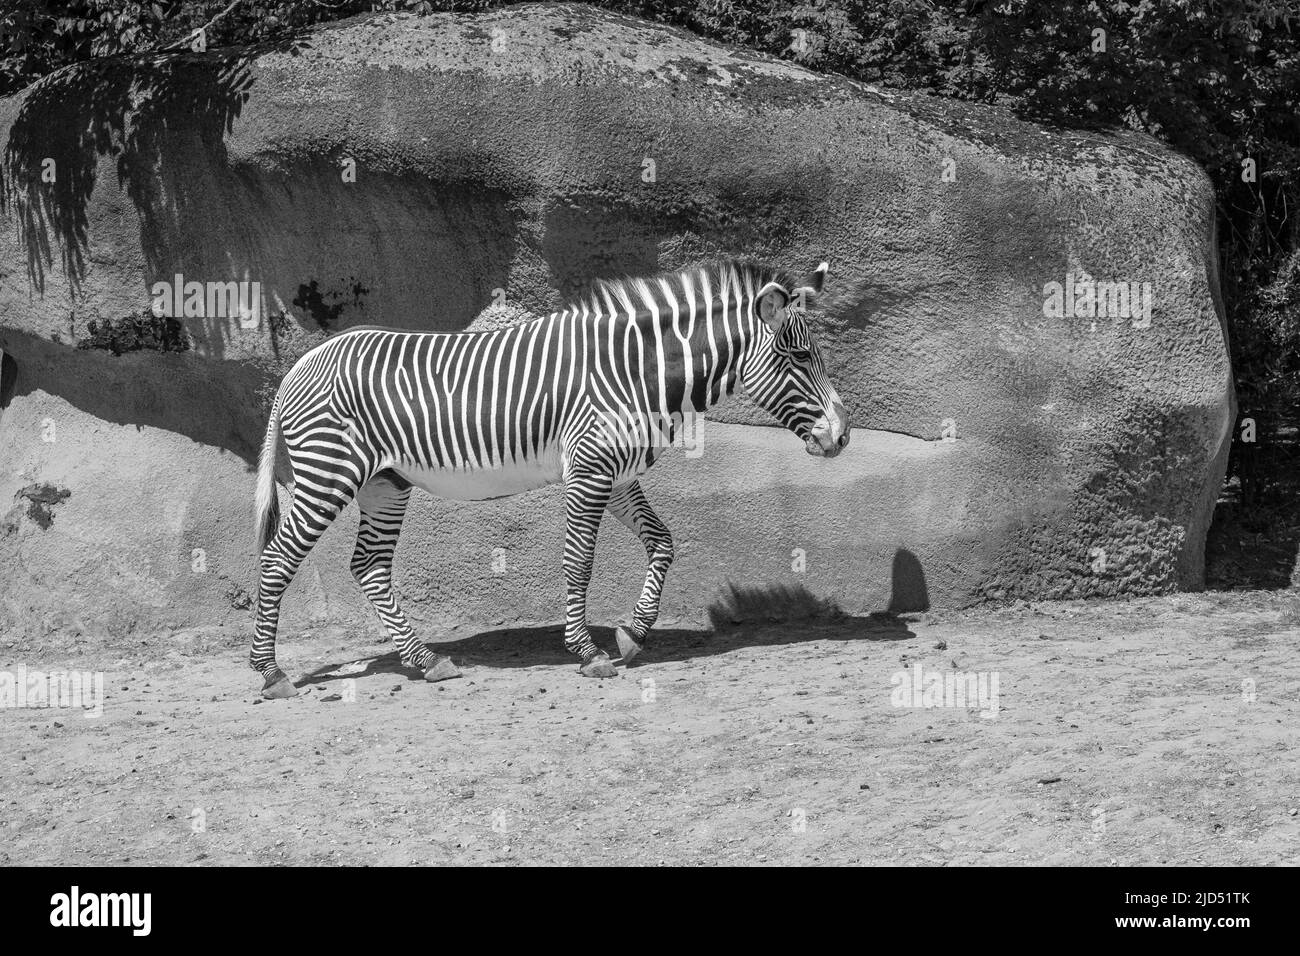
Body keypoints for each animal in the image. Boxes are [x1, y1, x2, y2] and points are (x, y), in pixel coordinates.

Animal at [250, 257, 852, 697]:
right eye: (801, 357)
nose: (844, 436)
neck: (636, 370)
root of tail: (298, 367)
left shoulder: (619, 474)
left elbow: (662, 543)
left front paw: (632, 635)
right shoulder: (589, 468)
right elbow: (578, 561)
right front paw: (588, 653)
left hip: (385, 482)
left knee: (369, 566)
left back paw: (426, 661)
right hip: (330, 472)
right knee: (278, 559)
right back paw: (271, 674)